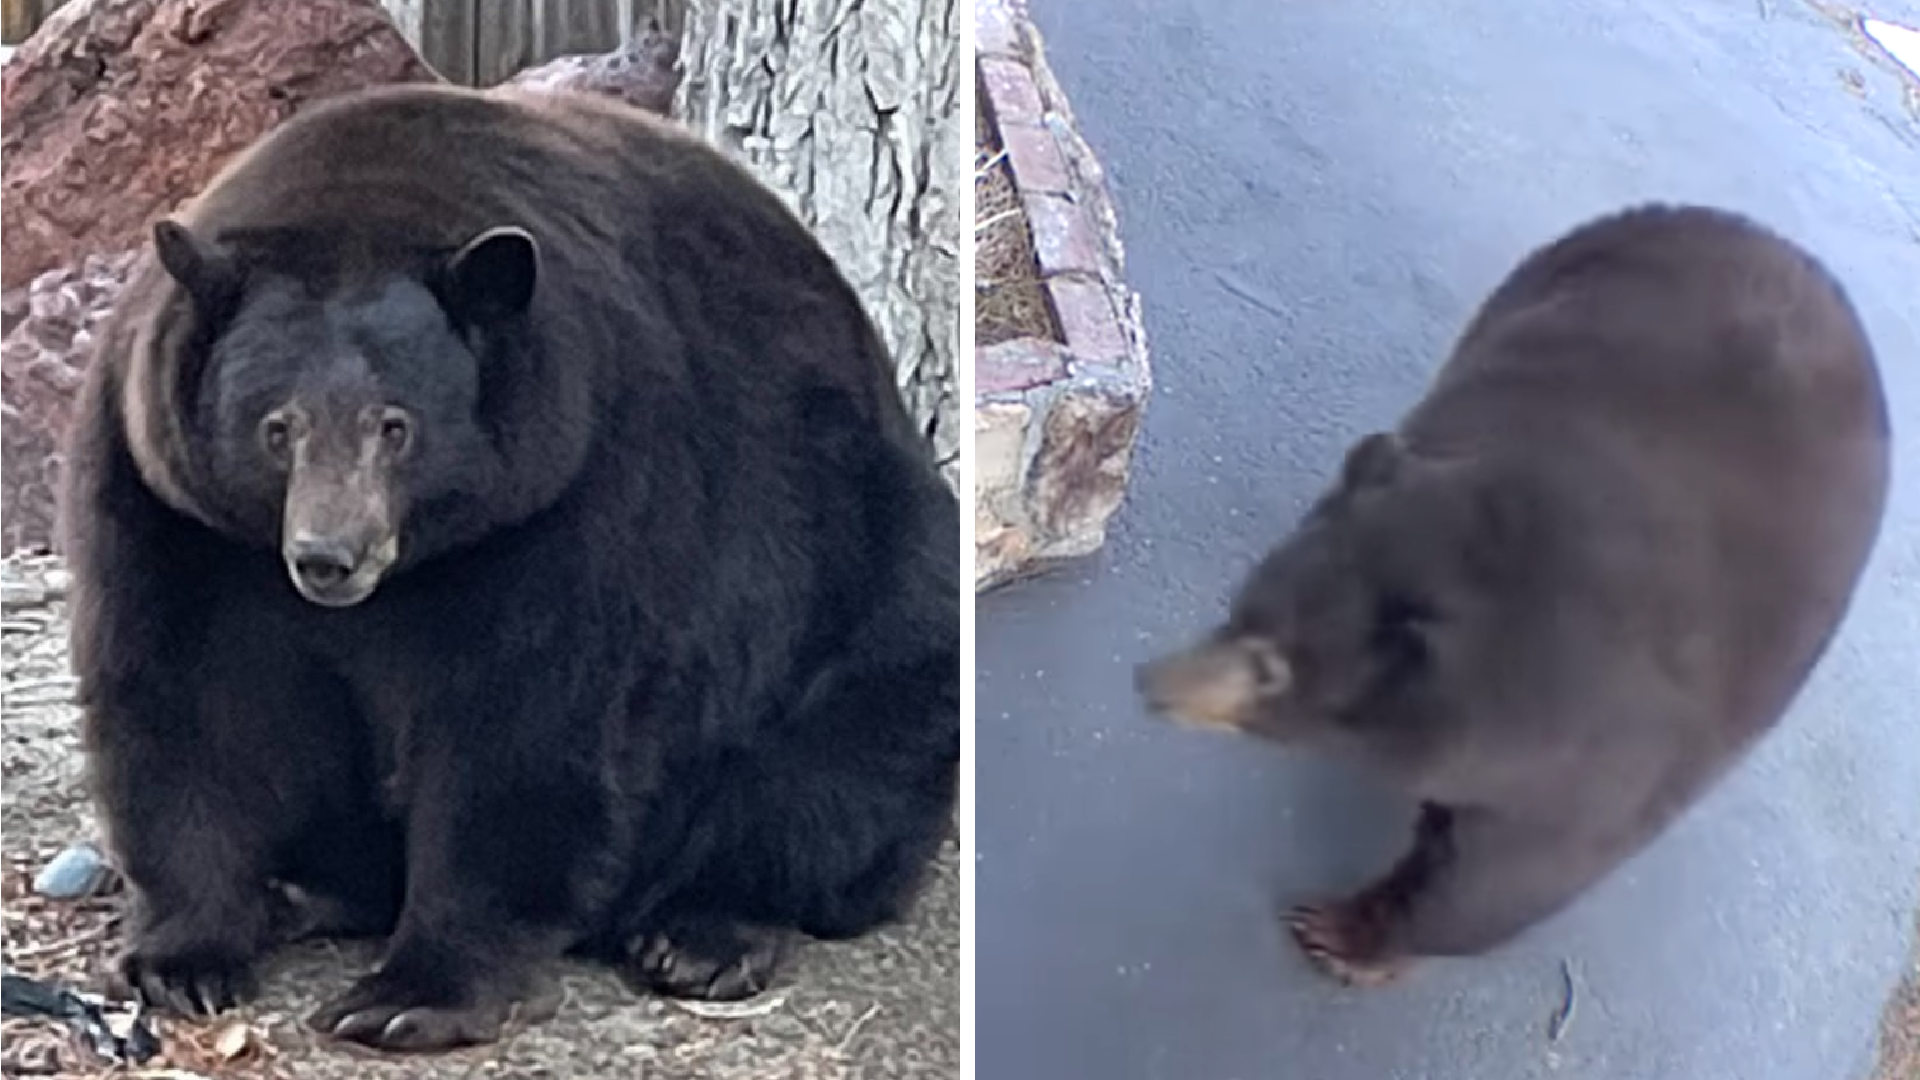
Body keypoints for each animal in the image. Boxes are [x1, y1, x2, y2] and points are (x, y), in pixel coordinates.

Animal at [59, 83, 959, 1052]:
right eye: (277, 426)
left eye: (395, 424)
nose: (329, 557)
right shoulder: (170, 502)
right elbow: (188, 695)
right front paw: (185, 958)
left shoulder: (578, 484)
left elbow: (525, 722)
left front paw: (408, 994)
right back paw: (305, 891)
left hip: (864, 581)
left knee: (835, 766)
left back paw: (703, 933)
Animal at [1134, 204, 1891, 986]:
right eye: (1239, 609)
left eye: (1271, 667)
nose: (1150, 682)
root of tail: (1778, 241)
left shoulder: (1613, 755)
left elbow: (1511, 875)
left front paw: (1344, 934)